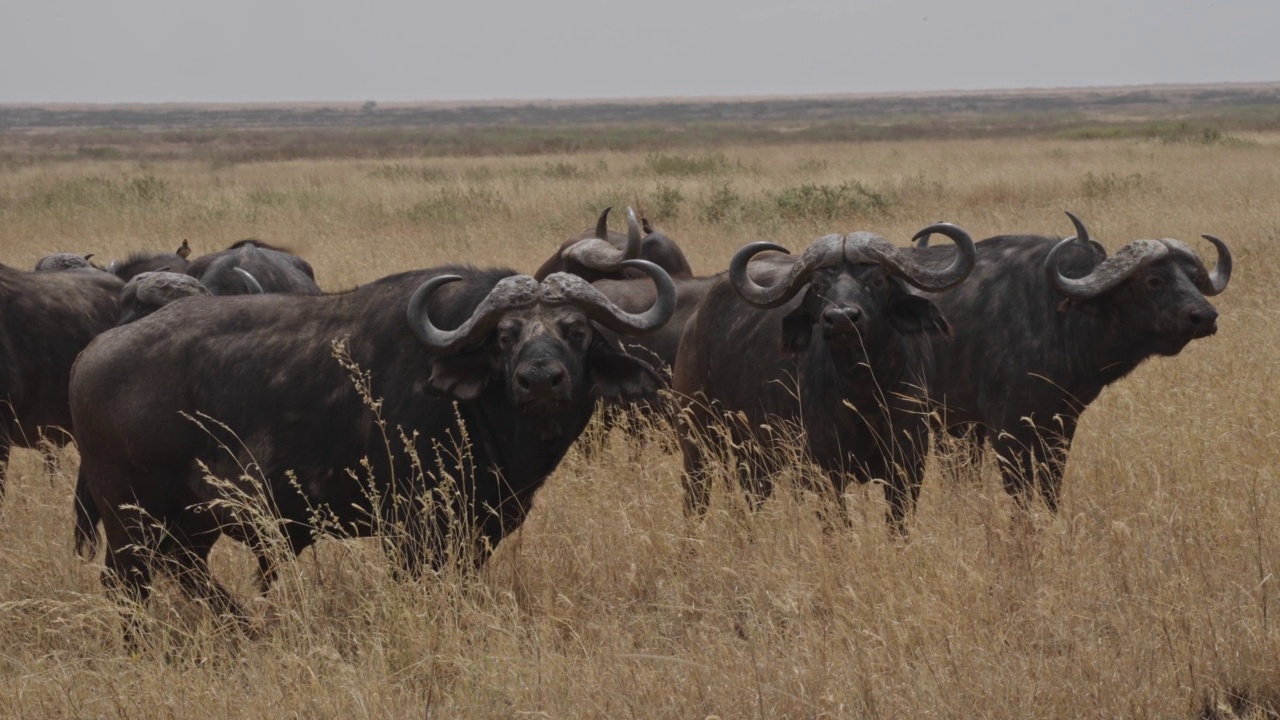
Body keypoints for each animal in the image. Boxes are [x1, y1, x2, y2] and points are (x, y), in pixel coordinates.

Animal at [70, 258, 675, 632]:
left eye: (576, 331)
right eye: (506, 336)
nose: (541, 380)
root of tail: (92, 354)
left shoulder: (478, 529)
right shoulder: (412, 531)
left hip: (189, 526)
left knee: (186, 575)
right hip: (131, 523)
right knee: (128, 586)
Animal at [675, 224, 972, 527]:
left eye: (877, 280)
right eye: (818, 286)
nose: (841, 318)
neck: (865, 394)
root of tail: (696, 321)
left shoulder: (908, 465)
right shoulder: (825, 471)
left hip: (754, 456)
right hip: (696, 434)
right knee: (695, 493)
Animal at [911, 210, 1228, 507]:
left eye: (1193, 277)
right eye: (1154, 279)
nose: (1206, 316)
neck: (1059, 321)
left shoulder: (1062, 424)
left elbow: (1051, 486)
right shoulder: (1006, 428)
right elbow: (1020, 492)